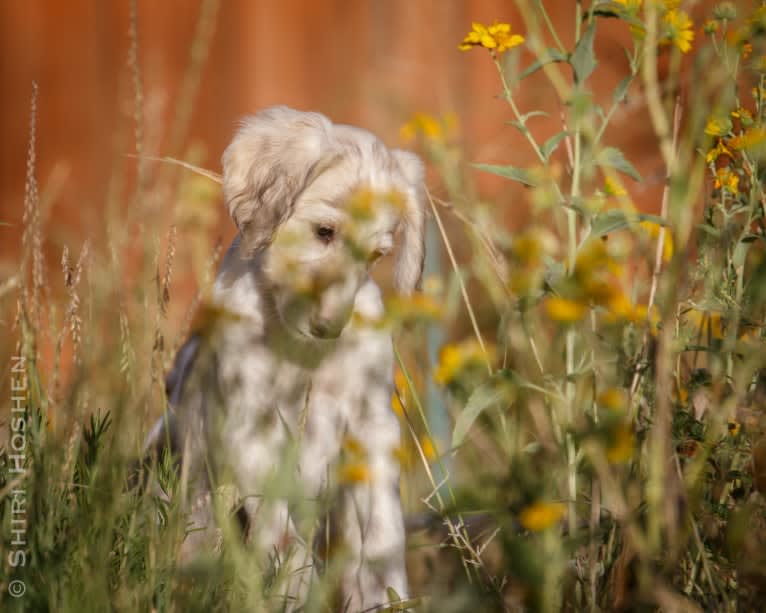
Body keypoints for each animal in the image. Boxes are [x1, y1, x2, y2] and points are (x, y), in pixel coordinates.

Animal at [146, 107, 426, 608]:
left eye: (376, 255)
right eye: (323, 232)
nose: (329, 327)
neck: (301, 351)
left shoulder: (371, 426)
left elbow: (381, 538)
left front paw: (385, 595)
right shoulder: (250, 425)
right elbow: (284, 534)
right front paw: (297, 588)